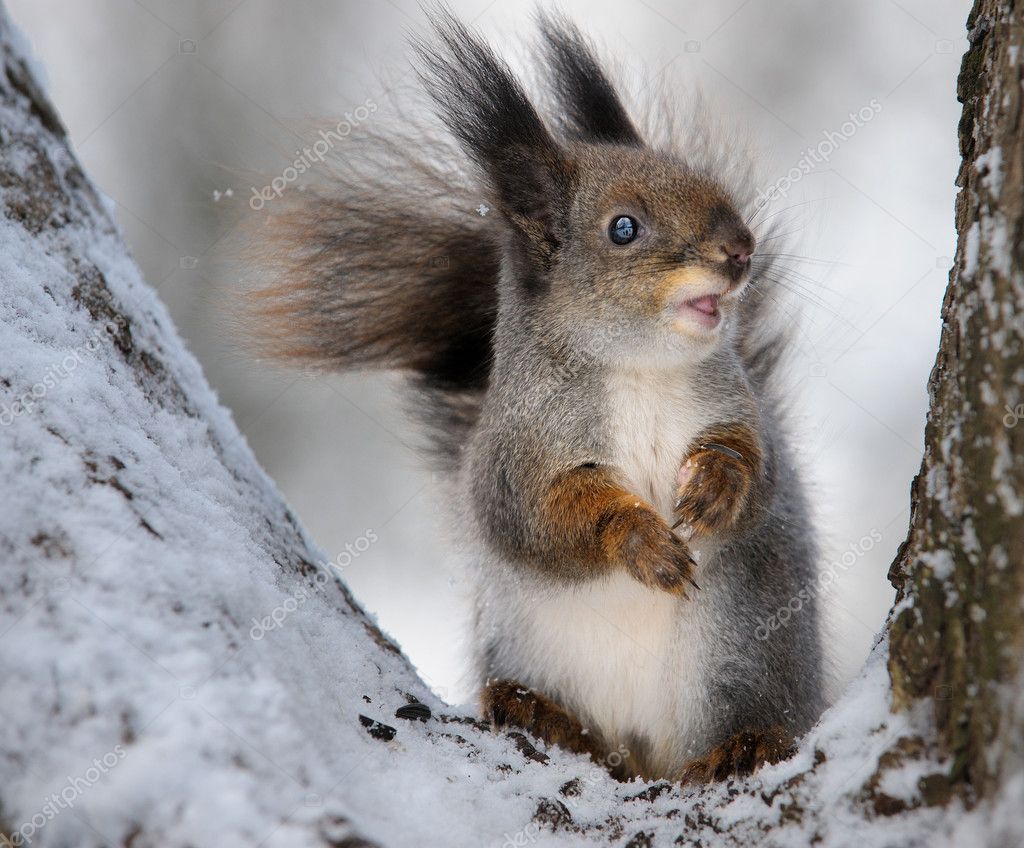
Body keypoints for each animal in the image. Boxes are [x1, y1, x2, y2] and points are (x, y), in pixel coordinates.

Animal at [247, 9, 825, 784]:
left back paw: (746, 743)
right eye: (623, 228)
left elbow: (754, 471)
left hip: (744, 653)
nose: (739, 249)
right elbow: (542, 516)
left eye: (703, 180)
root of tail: (648, 758)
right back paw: (539, 713)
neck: (637, 369)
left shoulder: (735, 407)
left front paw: (715, 486)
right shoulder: (515, 448)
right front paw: (640, 539)